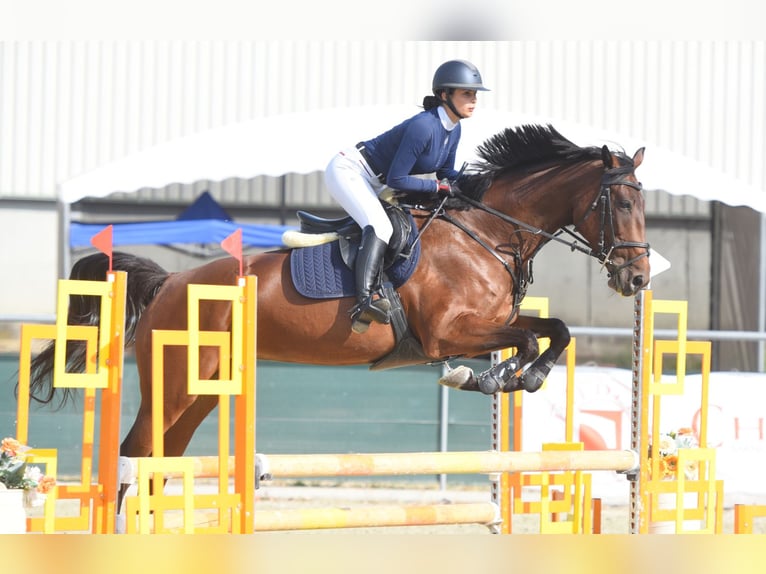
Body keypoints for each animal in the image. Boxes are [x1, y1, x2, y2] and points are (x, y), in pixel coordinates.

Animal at [25, 125, 648, 508]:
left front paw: (511, 376)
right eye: (621, 202)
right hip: (174, 383)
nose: (638, 278)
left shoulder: (484, 326)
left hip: (201, 391)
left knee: (160, 461)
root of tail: (169, 283)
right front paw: (493, 376)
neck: (487, 232)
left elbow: (553, 332)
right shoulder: (446, 333)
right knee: (134, 456)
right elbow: (526, 341)